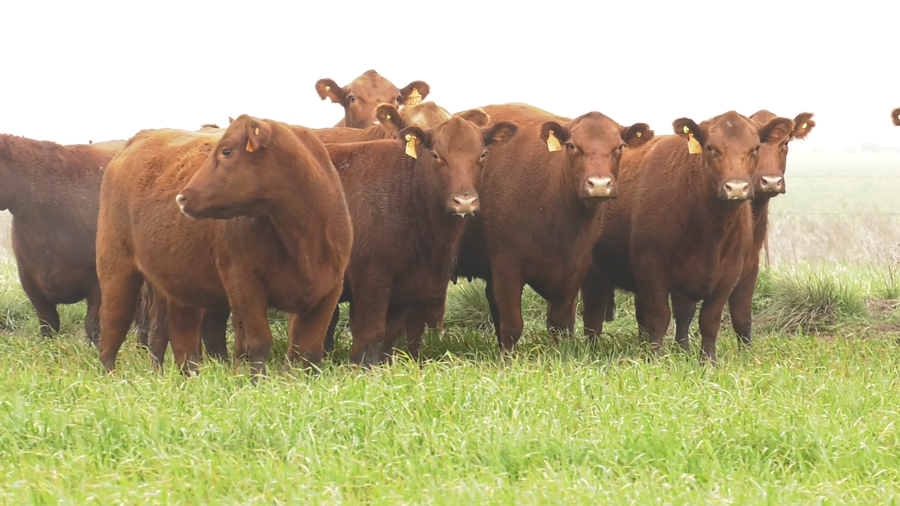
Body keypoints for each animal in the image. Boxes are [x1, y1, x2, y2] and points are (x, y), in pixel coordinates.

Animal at [96, 115, 352, 377]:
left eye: (227, 151)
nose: (182, 198)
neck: (302, 241)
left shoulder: (329, 290)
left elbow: (311, 350)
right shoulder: (243, 284)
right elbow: (258, 343)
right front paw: (256, 381)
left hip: (181, 284)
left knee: (181, 336)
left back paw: (191, 377)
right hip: (115, 269)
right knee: (112, 327)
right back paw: (109, 375)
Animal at [319, 111, 516, 365]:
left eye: (482, 154)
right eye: (435, 155)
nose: (464, 202)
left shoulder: (405, 291)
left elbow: (390, 339)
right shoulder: (370, 281)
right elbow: (370, 335)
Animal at [453, 103, 653, 351]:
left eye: (619, 146)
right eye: (572, 146)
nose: (599, 184)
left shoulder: (578, 266)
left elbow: (560, 323)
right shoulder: (506, 266)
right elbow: (512, 325)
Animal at [581, 111, 795, 363]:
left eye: (755, 148)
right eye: (710, 147)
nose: (736, 188)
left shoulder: (732, 271)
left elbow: (709, 319)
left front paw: (708, 360)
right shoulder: (650, 264)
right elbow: (659, 316)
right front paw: (656, 357)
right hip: (592, 272)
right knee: (593, 315)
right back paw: (592, 350)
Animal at [670, 111, 815, 348]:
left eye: (785, 143)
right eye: (758, 148)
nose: (771, 181)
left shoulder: (749, 265)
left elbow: (742, 316)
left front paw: (747, 350)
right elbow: (683, 312)